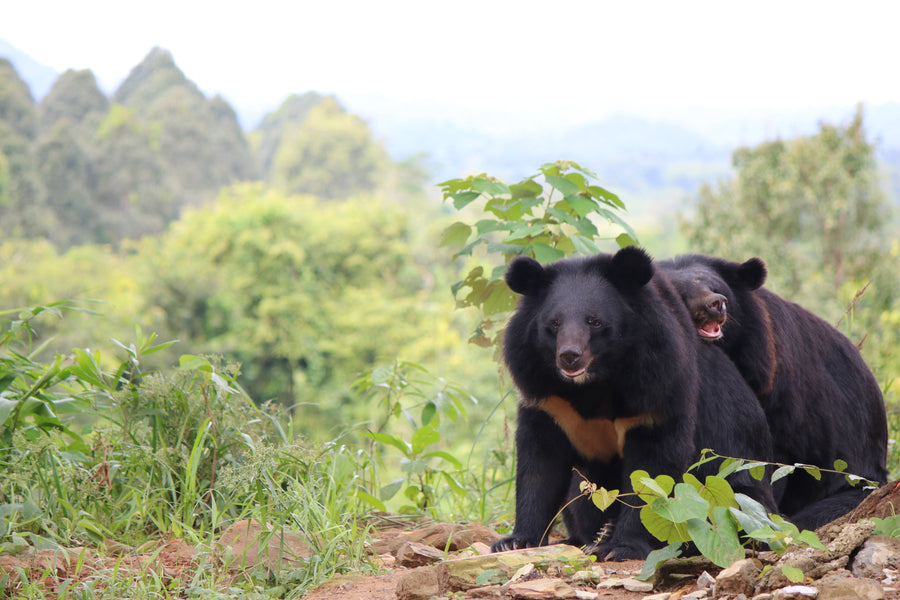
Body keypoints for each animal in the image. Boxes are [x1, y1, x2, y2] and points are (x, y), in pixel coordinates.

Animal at [488, 246, 776, 560]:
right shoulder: (548, 399)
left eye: (594, 321)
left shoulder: (658, 387)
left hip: (735, 487)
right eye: (554, 323)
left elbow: (652, 467)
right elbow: (540, 466)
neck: (594, 381)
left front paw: (621, 547)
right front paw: (515, 541)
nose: (569, 356)